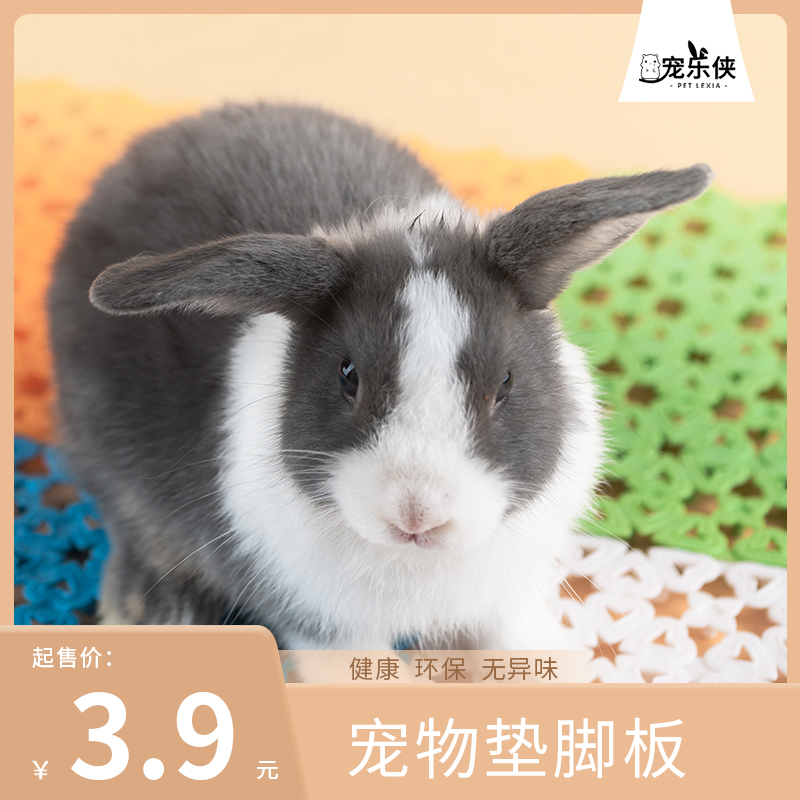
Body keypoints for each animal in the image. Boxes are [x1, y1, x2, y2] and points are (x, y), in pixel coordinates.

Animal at [47, 102, 712, 650]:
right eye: (348, 376)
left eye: (505, 382)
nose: (417, 515)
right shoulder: (319, 626)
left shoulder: (503, 595)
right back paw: (149, 608)